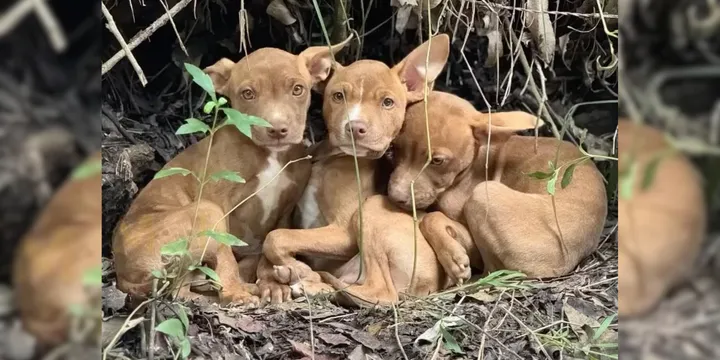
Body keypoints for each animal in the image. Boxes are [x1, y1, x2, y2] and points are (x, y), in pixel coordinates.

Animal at [111, 39, 350, 306]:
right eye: (248, 94)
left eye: (298, 89)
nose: (277, 129)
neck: (271, 155)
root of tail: (121, 276)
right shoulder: (218, 202)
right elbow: (227, 254)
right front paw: (238, 291)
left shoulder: (286, 208)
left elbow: (271, 244)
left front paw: (273, 283)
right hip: (204, 213)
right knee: (182, 289)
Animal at [258, 34, 450, 304]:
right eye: (338, 96)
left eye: (387, 102)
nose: (355, 127)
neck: (333, 159)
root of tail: (433, 284)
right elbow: (270, 242)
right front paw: (274, 280)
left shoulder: (343, 234)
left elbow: (276, 236)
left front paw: (297, 268)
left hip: (372, 211)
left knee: (381, 292)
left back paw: (306, 280)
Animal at [388, 91, 608, 282]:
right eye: (395, 148)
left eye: (437, 161)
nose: (394, 196)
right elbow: (433, 218)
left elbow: (431, 218)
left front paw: (452, 258)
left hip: (484, 194)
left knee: (489, 270)